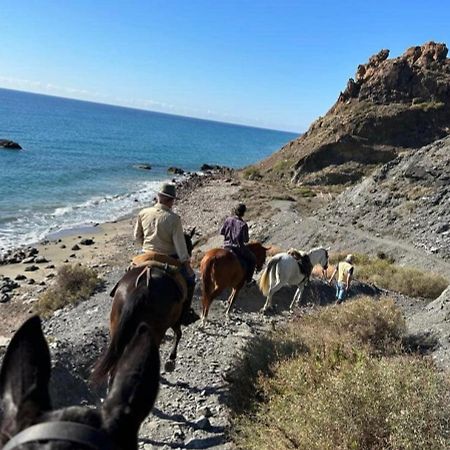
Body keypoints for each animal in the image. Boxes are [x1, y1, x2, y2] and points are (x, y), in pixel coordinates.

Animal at [92, 230, 197, 384]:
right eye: (189, 245)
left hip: (117, 326)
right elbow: (178, 334)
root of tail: (142, 287)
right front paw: (171, 361)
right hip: (156, 330)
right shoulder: (175, 321)